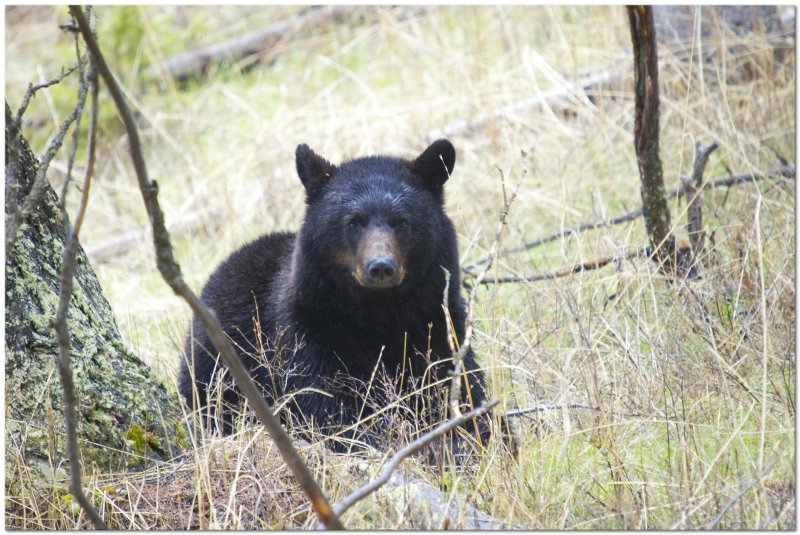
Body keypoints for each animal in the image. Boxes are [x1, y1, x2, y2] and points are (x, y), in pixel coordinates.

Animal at [178, 138, 496, 452]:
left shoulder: (436, 318)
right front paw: (373, 437)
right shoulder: (308, 326)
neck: (380, 313)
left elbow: (458, 381)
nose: (380, 267)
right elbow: (319, 397)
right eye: (352, 222)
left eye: (402, 222)